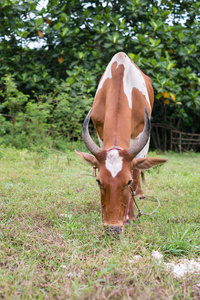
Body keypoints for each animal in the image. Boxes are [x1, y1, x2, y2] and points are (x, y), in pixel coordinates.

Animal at [76, 51, 166, 233]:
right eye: (98, 181)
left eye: (127, 181)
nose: (113, 228)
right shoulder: (100, 135)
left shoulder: (140, 136)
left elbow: (135, 172)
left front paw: (130, 216)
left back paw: (140, 194)